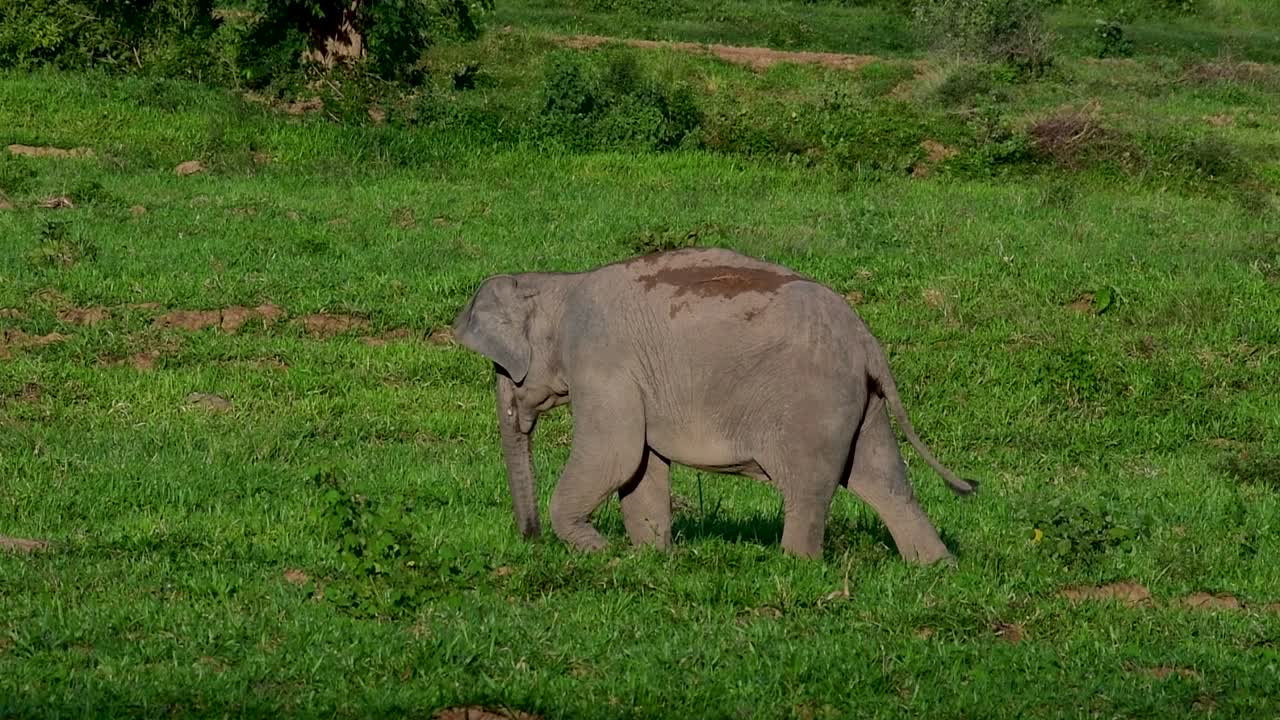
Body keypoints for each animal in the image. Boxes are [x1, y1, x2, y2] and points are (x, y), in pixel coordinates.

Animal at [452, 247, 976, 563]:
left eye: (502, 368)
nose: (531, 540)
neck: (559, 284)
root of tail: (867, 340)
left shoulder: (601, 361)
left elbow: (615, 454)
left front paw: (602, 552)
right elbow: (641, 469)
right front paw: (651, 559)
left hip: (813, 402)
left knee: (810, 487)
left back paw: (797, 567)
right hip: (859, 400)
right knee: (883, 480)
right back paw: (937, 568)